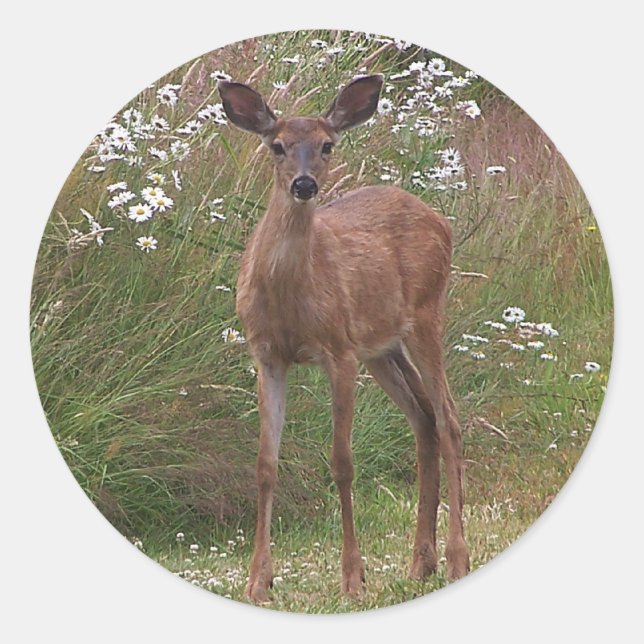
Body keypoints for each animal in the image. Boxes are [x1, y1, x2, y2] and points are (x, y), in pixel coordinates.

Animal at [218, 74, 470, 603]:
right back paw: (421, 562)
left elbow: (342, 462)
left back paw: (457, 559)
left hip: (426, 314)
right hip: (382, 346)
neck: (291, 299)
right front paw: (258, 581)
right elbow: (265, 464)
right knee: (424, 418)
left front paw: (353, 578)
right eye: (276, 145)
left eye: (327, 145)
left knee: (449, 419)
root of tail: (439, 218)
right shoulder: (267, 355)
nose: (304, 184)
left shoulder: (339, 351)